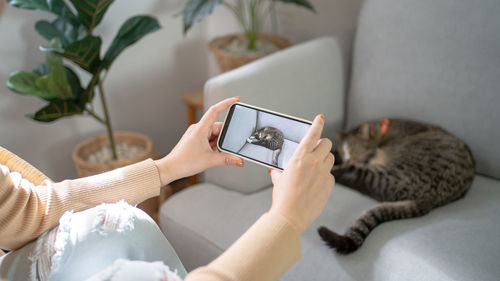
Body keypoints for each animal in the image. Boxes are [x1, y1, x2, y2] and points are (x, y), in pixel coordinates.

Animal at [318, 117, 474, 253]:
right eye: (344, 152)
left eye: (354, 150)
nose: (346, 160)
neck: (384, 130)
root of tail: (429, 199)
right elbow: (333, 153)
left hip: (387, 173)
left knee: (352, 176)